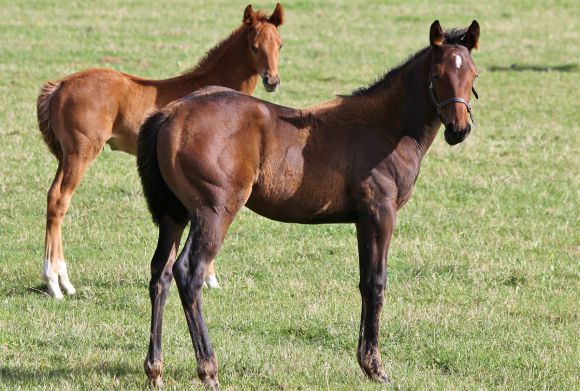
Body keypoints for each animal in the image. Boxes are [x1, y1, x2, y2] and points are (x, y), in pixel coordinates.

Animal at [35, 3, 284, 298]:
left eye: (280, 44)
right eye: (254, 47)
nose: (272, 81)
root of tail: (59, 86)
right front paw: (210, 278)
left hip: (66, 155)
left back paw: (62, 282)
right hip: (80, 153)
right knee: (59, 199)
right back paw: (55, 282)